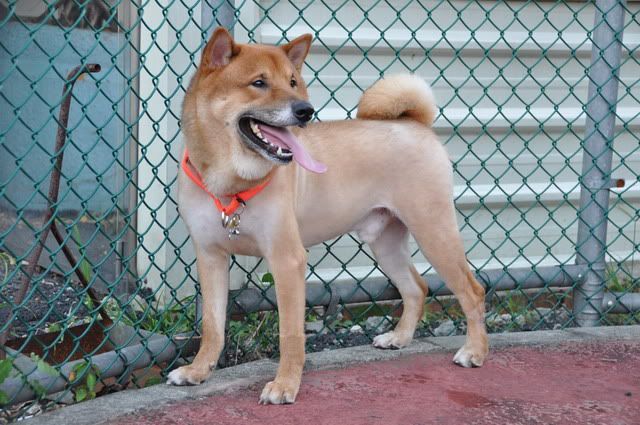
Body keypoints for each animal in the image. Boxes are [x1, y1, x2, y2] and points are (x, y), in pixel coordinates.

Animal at [167, 27, 489, 404]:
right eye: (259, 82)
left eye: (293, 82)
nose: (305, 110)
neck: (229, 182)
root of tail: (415, 124)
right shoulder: (211, 257)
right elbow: (212, 325)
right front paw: (198, 371)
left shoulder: (287, 259)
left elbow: (290, 334)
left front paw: (285, 385)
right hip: (386, 242)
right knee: (416, 287)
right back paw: (399, 338)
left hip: (434, 230)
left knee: (472, 291)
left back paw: (475, 351)